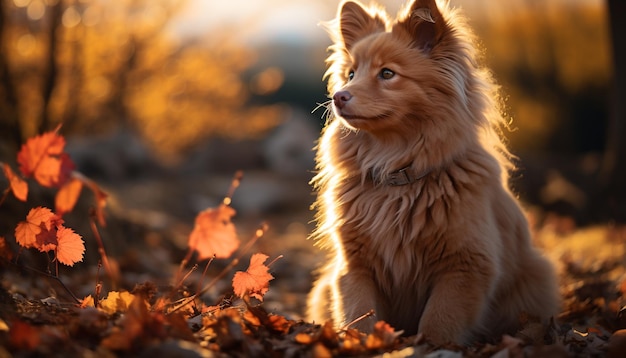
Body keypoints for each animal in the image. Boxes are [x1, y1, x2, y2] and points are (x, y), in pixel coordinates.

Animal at [310, 0, 560, 346]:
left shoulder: (465, 266)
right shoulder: (354, 265)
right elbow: (359, 313)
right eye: (350, 74)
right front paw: (361, 343)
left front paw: (428, 347)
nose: (339, 96)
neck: (397, 171)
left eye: (387, 73)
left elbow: (439, 322)